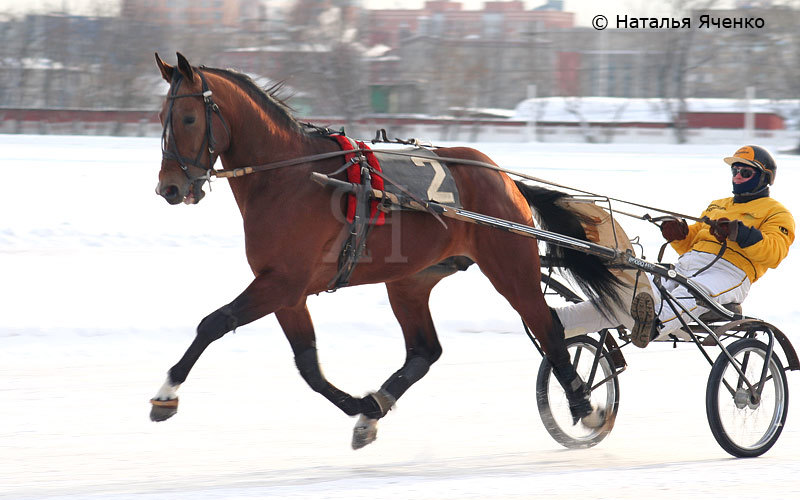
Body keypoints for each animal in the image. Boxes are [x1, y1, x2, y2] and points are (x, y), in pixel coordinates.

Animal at [153, 53, 620, 450]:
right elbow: (309, 366)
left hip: (510, 266)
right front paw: (363, 406)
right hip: (411, 279)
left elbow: (214, 323)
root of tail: (503, 177)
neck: (293, 177)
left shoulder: (282, 283)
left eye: (189, 117)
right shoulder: (287, 291)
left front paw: (166, 393)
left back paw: (583, 406)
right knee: (425, 350)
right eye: (161, 116)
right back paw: (375, 407)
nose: (169, 188)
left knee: (549, 328)